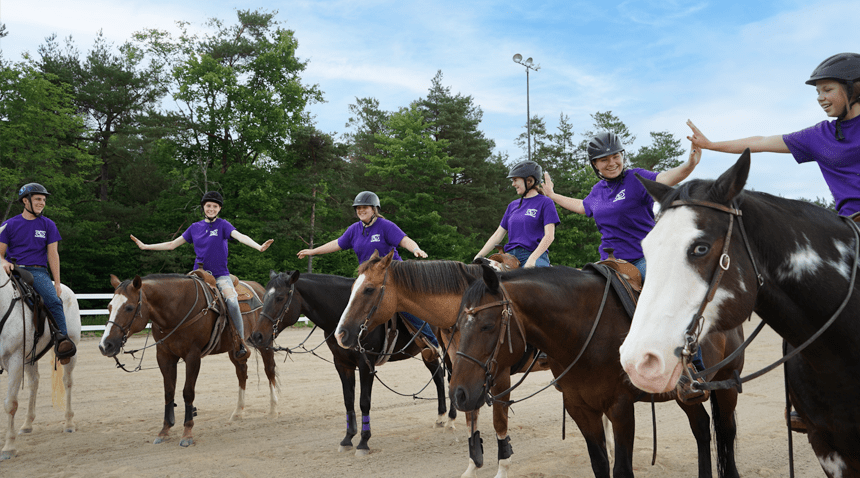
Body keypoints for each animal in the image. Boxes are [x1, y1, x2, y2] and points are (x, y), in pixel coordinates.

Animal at [0, 226, 80, 462]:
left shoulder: (14, 359)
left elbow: (10, 403)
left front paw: (8, 447)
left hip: (70, 353)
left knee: (67, 382)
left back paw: (69, 422)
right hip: (29, 357)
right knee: (34, 383)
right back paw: (27, 424)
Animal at [100, 274, 278, 446]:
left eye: (129, 307)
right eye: (109, 307)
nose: (105, 345)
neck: (177, 310)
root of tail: (260, 288)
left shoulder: (193, 356)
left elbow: (188, 392)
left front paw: (187, 433)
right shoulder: (164, 356)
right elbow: (169, 391)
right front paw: (164, 431)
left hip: (264, 341)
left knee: (269, 370)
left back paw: (273, 409)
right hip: (234, 350)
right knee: (242, 373)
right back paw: (238, 412)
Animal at [245, 272, 450, 456]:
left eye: (280, 298)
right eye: (264, 296)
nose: (256, 336)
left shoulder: (366, 364)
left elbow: (364, 402)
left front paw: (364, 442)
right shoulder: (342, 364)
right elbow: (348, 400)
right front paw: (347, 439)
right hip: (429, 353)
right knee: (439, 377)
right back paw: (441, 417)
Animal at [450, 266, 744, 478]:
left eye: (487, 326)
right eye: (457, 326)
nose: (459, 394)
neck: (585, 332)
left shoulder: (620, 407)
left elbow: (622, 469)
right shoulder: (580, 408)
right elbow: (600, 465)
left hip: (727, 383)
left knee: (727, 432)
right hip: (686, 395)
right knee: (702, 428)